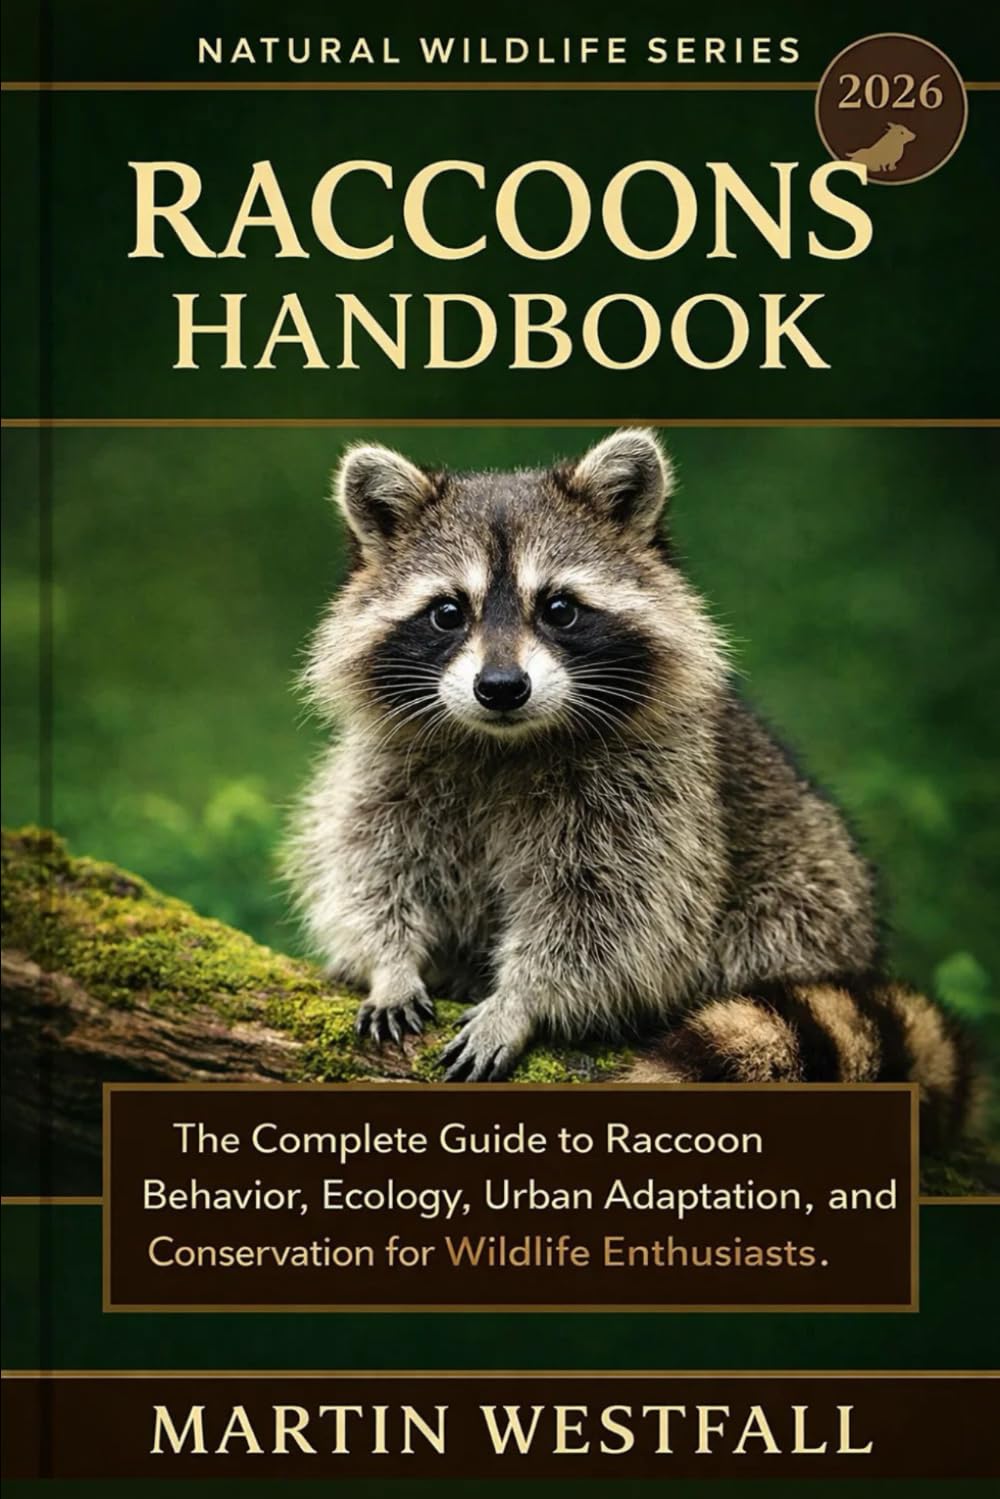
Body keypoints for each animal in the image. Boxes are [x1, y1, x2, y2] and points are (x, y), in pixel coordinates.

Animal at [288, 430, 975, 1144]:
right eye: (448, 612)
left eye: (559, 609)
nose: (501, 688)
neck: (506, 742)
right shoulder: (388, 768)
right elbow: (372, 865)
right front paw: (390, 962)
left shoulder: (654, 792)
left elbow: (612, 915)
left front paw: (524, 999)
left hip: (807, 892)